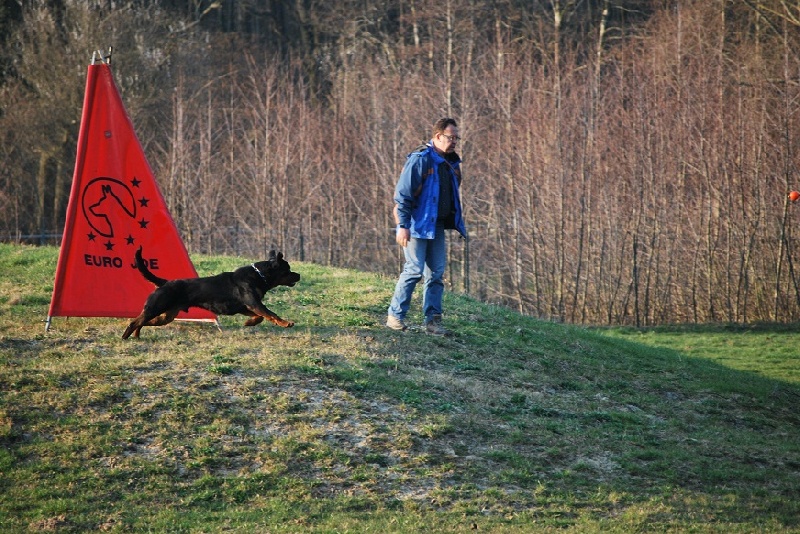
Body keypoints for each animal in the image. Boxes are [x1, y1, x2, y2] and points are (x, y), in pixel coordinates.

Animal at [122, 247, 300, 340]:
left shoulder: (246, 307)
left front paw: (249, 323)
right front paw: (286, 323)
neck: (259, 275)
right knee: (134, 321)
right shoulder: (255, 303)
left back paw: (137, 336)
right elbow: (271, 314)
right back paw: (126, 337)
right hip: (155, 307)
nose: (298, 275)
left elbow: (260, 317)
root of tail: (164, 282)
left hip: (167, 316)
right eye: (288, 270)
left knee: (143, 322)